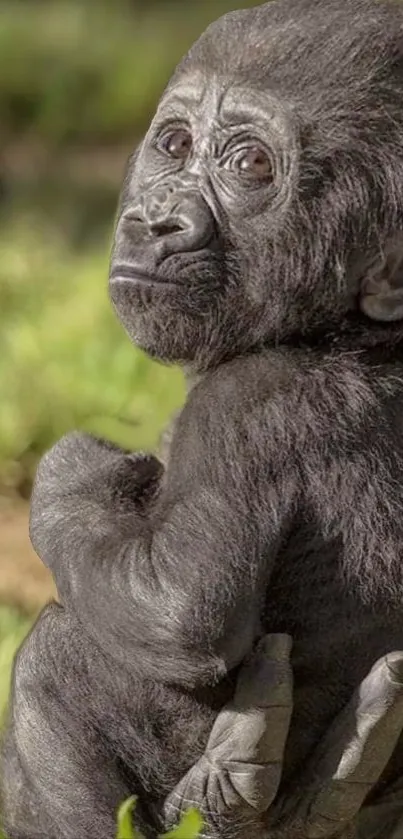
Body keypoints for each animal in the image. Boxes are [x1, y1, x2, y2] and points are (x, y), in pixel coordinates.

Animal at [3, 0, 403, 836]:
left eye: (250, 166)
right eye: (176, 145)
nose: (159, 220)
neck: (344, 329)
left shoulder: (242, 410)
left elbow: (182, 608)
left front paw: (77, 472)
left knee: (54, 666)